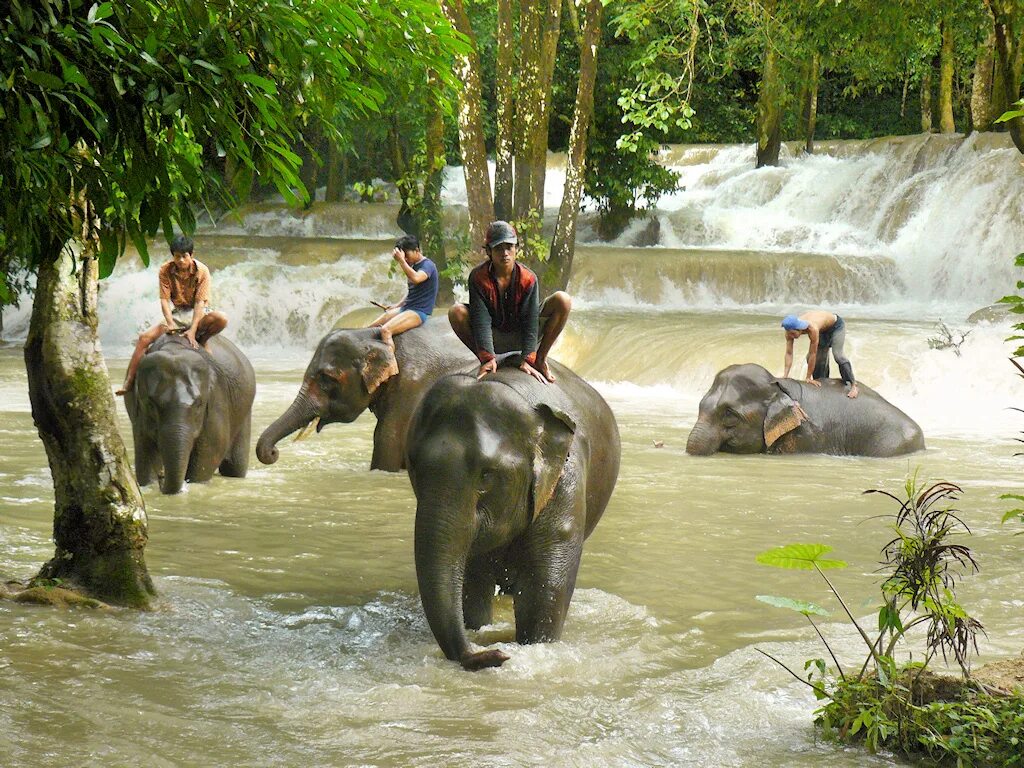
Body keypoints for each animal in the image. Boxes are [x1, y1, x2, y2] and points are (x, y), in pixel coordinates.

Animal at [123, 333, 256, 495]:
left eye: (198, 404)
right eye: (150, 405)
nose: (161, 476)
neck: (174, 349)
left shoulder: (217, 401)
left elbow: (212, 449)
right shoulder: (139, 415)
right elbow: (144, 451)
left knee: (235, 466)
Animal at [407, 364, 622, 671]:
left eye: (486, 475)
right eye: (413, 466)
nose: (497, 655)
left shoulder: (565, 481)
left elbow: (541, 592)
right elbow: (473, 587)